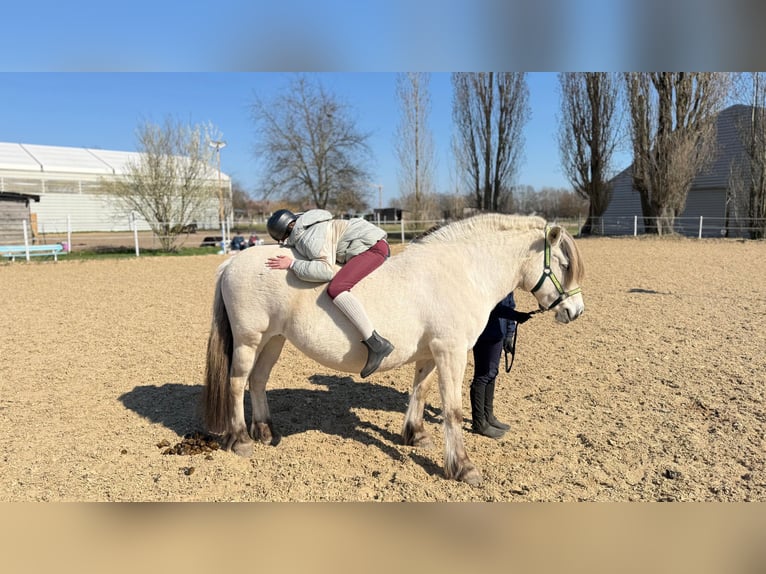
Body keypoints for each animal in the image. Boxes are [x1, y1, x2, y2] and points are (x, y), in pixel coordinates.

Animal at [202, 214, 585, 486]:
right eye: (564, 264)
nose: (575, 311)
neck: (462, 272)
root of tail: (231, 263)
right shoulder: (451, 352)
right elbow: (453, 411)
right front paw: (463, 468)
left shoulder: (431, 354)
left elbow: (419, 392)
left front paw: (416, 436)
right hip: (250, 339)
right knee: (237, 382)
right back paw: (241, 440)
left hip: (274, 340)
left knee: (258, 381)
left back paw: (266, 431)